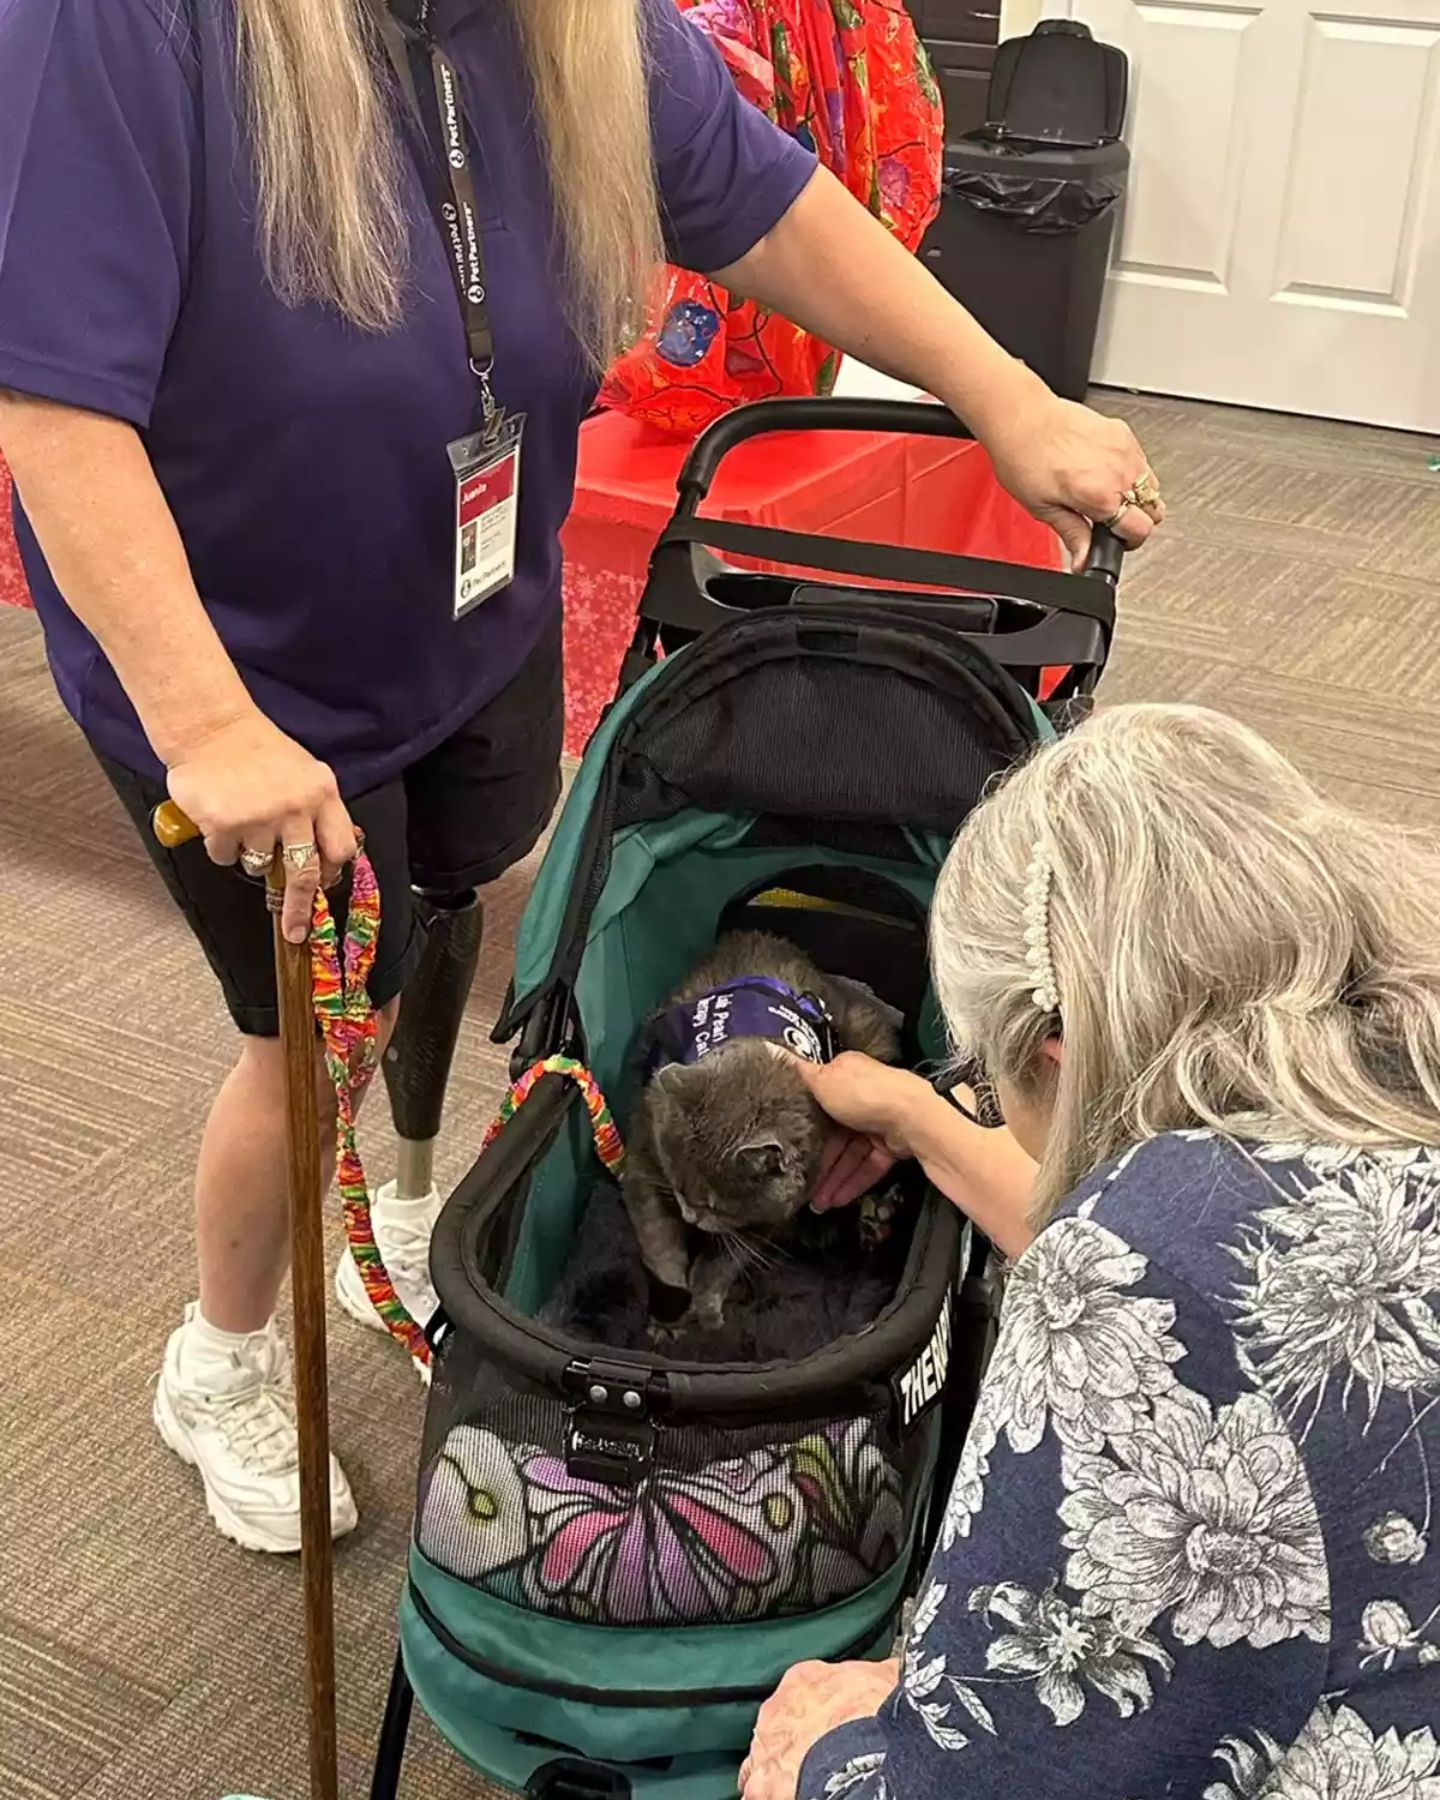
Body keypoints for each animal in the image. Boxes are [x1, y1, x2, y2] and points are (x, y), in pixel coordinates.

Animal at [619, 936, 900, 1332]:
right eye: (678, 1186)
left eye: (714, 1204)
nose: (690, 1216)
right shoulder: (643, 1163)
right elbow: (659, 1245)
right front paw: (669, 1313)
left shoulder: (772, 1213)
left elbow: (723, 1261)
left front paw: (705, 1308)